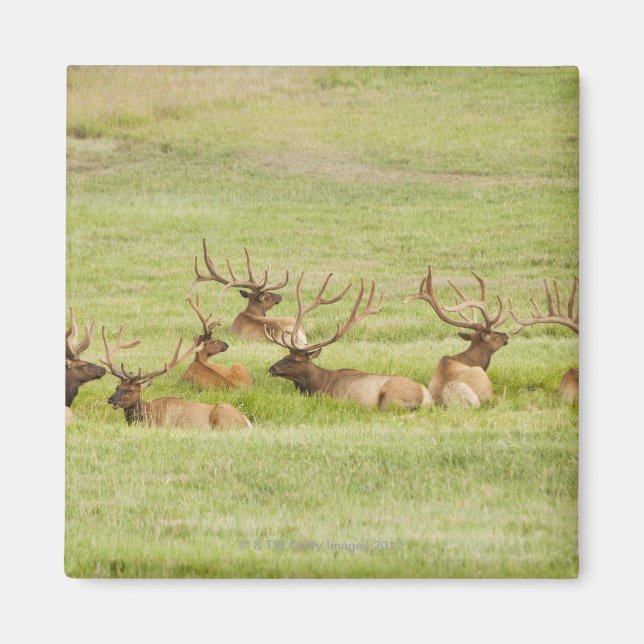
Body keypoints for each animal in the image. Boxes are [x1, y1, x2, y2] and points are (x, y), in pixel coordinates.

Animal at [101, 327, 252, 430]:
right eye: (117, 387)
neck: (147, 415)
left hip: (222, 416)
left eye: (131, 390)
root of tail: (247, 422)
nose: (111, 399)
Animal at [265, 273, 432, 409]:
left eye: (295, 360)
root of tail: (427, 397)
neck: (320, 384)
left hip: (390, 399)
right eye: (285, 355)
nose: (272, 368)